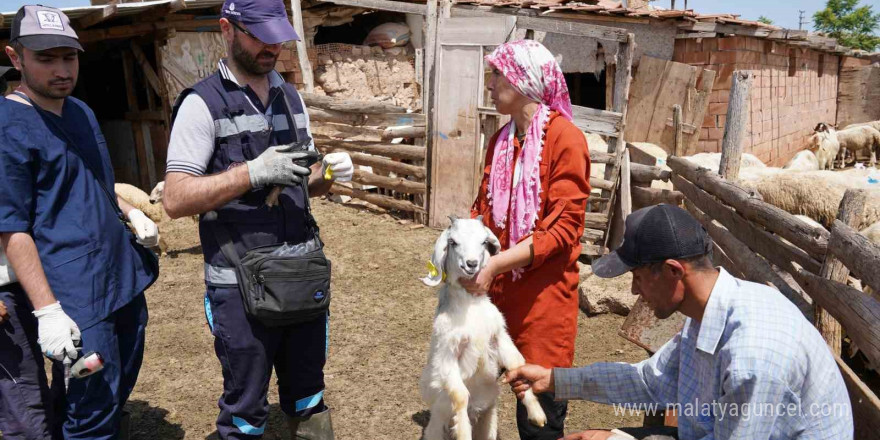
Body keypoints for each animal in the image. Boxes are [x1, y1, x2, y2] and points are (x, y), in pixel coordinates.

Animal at [418, 217, 544, 440]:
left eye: (484, 241)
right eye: (453, 242)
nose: (471, 264)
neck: (470, 307)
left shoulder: (499, 336)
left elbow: (517, 364)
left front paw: (537, 414)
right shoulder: (447, 353)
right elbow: (460, 395)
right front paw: (463, 432)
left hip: (489, 422)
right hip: (436, 427)